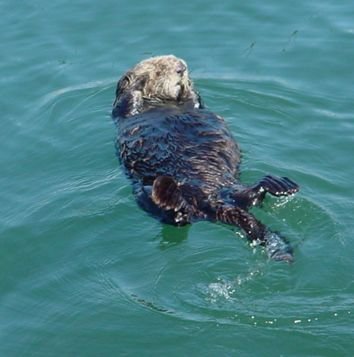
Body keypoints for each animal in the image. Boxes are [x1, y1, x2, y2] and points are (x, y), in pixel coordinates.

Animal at [112, 54, 298, 260]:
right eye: (159, 70)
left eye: (178, 63)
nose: (181, 69)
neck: (162, 103)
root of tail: (210, 202)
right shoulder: (122, 111)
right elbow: (127, 100)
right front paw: (139, 80)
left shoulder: (194, 104)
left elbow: (194, 100)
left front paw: (187, 85)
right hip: (143, 192)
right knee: (177, 217)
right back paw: (168, 193)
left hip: (231, 188)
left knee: (251, 197)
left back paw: (276, 184)